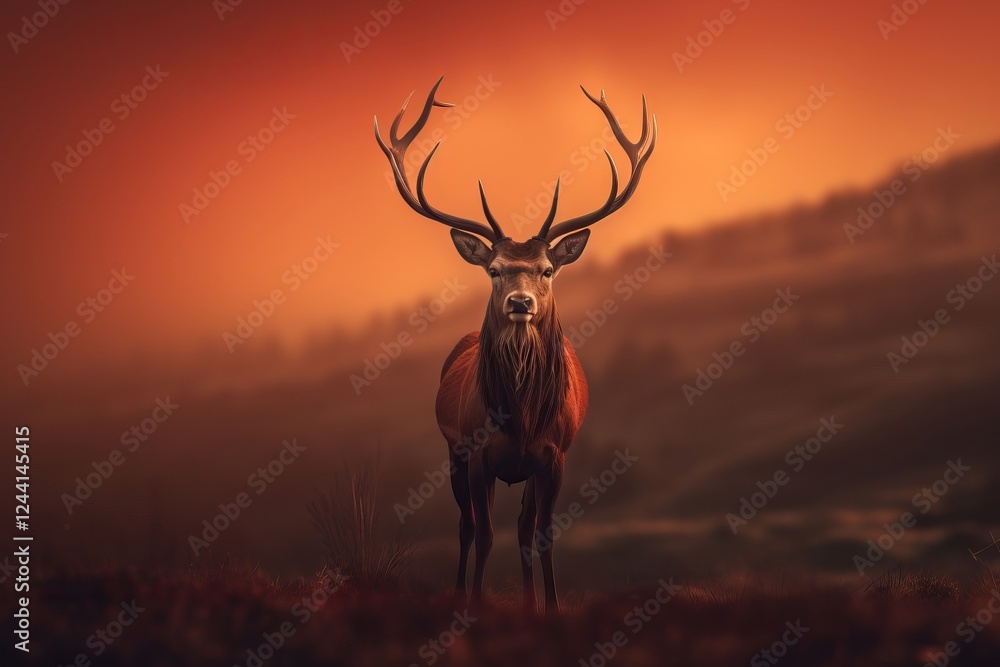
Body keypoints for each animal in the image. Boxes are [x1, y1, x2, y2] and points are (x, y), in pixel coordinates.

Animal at [375, 77, 656, 614]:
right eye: (494, 269)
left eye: (547, 270)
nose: (520, 302)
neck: (521, 416)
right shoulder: (476, 452)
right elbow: (483, 534)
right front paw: (473, 605)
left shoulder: (554, 455)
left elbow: (541, 533)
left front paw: (549, 607)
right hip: (455, 455)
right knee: (466, 525)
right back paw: (462, 591)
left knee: (523, 529)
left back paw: (528, 602)